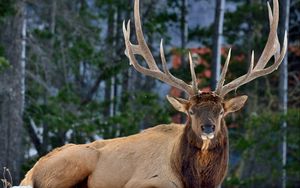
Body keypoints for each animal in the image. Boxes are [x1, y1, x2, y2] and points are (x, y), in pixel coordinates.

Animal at [19, 0, 288, 187]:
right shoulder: (143, 182)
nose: (208, 127)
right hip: (74, 163)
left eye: (221, 112)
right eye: (191, 111)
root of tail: (29, 173)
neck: (196, 181)